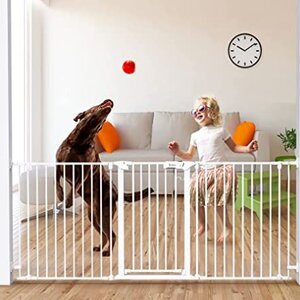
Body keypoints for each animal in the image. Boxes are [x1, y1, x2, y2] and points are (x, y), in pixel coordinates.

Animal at [55, 99, 152, 254]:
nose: (110, 102)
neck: (81, 139)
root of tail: (116, 191)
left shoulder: (84, 171)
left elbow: (75, 185)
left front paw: (68, 200)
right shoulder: (58, 162)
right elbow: (56, 181)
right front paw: (60, 195)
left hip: (103, 213)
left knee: (112, 235)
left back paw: (107, 252)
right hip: (93, 216)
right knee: (104, 235)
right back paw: (100, 247)